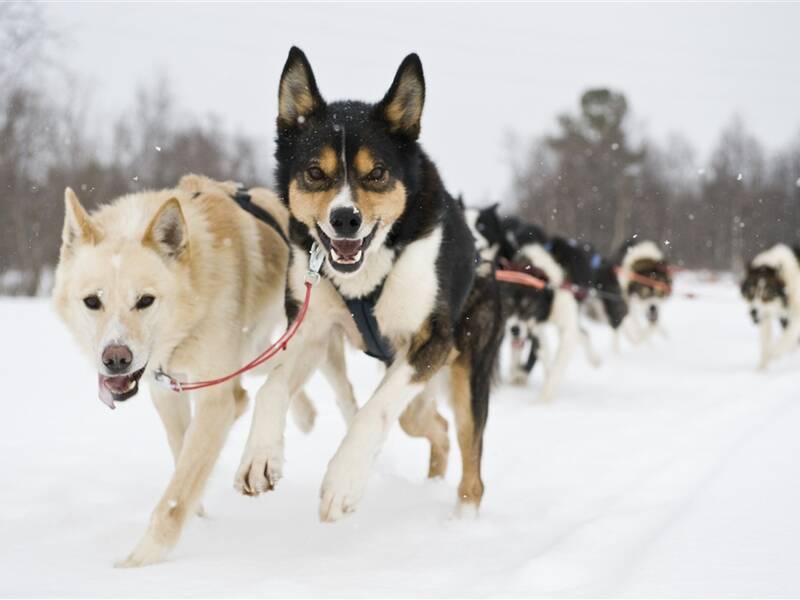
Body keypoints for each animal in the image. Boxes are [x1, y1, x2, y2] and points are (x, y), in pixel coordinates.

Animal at [234, 48, 504, 520]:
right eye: (315, 172)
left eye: (376, 172)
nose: (346, 218)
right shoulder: (312, 330)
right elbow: (271, 386)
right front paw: (260, 456)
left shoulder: (432, 341)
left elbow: (373, 410)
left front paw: (343, 479)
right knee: (433, 424)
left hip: (467, 369)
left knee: (471, 457)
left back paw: (463, 517)